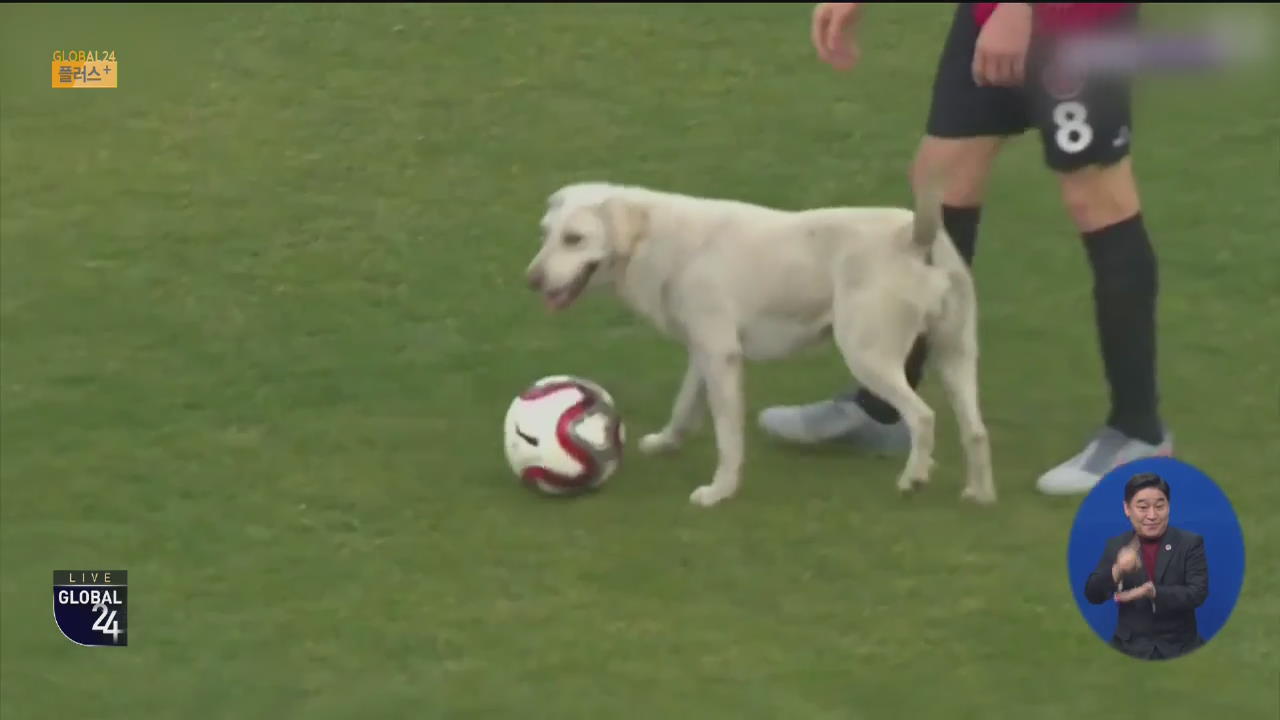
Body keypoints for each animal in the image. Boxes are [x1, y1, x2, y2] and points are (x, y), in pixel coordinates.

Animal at [524, 178, 993, 504]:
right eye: (545, 234)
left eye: (574, 239)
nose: (530, 281)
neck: (656, 240)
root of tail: (915, 236)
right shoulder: (705, 352)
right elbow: (684, 407)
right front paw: (666, 443)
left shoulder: (721, 356)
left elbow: (728, 439)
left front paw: (719, 492)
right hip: (956, 357)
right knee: (976, 430)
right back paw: (980, 495)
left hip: (867, 355)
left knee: (923, 417)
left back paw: (914, 478)